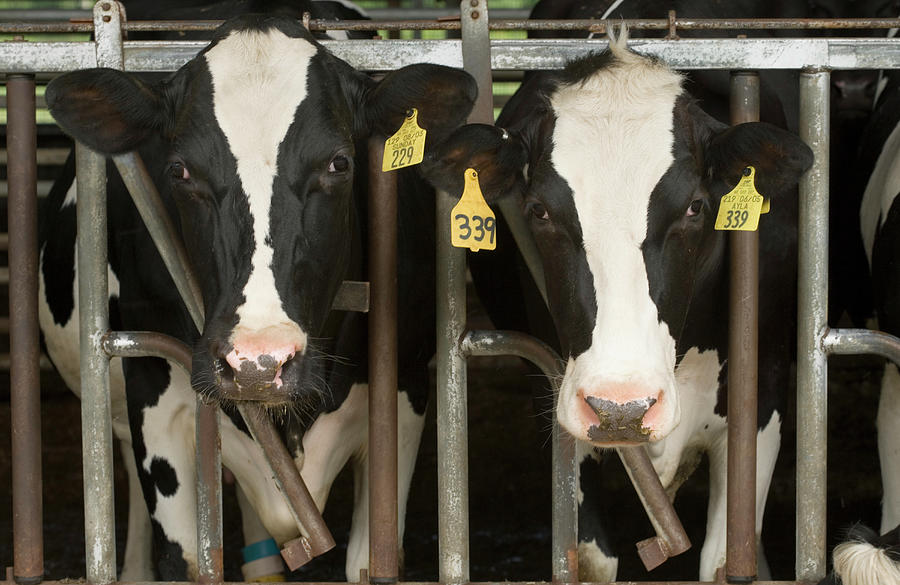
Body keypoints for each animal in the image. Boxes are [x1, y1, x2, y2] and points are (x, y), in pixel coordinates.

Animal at [40, 4, 478, 580]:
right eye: (180, 169)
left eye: (339, 163)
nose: (258, 361)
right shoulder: (155, 394)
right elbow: (190, 558)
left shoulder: (405, 390)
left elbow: (372, 557)